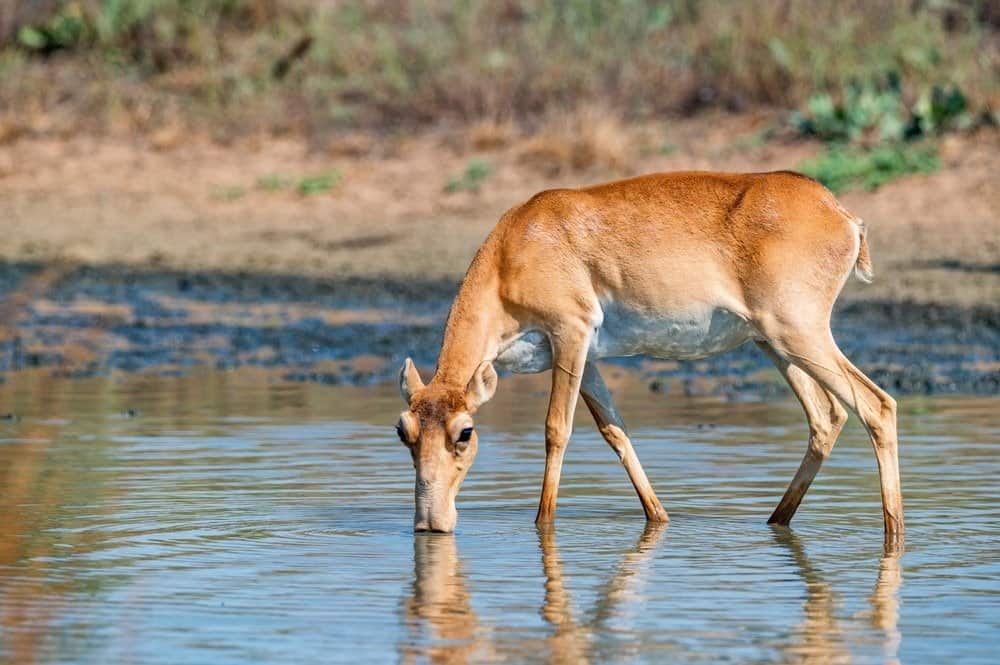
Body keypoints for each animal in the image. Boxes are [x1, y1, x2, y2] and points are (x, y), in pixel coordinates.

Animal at [394, 171, 904, 540]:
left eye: (465, 432)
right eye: (404, 431)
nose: (430, 524)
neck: (516, 245)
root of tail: (840, 213)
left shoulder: (569, 334)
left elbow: (557, 430)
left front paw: (542, 526)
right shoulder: (587, 359)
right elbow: (614, 431)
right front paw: (658, 517)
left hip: (799, 335)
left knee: (876, 406)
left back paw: (893, 537)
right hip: (773, 343)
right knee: (827, 416)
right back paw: (776, 521)